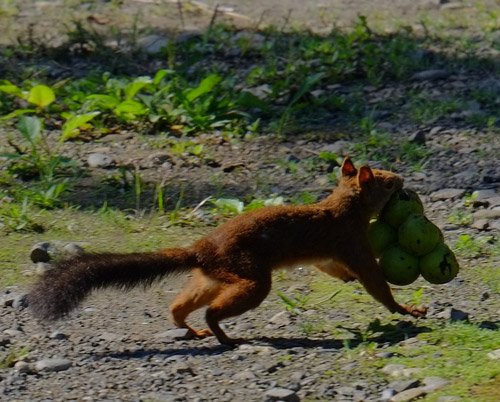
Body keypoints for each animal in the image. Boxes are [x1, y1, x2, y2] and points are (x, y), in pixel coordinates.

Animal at [28, 157, 426, 346]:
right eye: (385, 181)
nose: (403, 181)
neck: (343, 206)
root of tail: (201, 251)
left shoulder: (329, 254)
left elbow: (331, 268)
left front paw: (346, 280)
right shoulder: (351, 241)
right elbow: (375, 282)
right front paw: (407, 309)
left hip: (212, 278)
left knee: (180, 305)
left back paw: (189, 328)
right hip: (249, 277)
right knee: (214, 310)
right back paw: (222, 334)